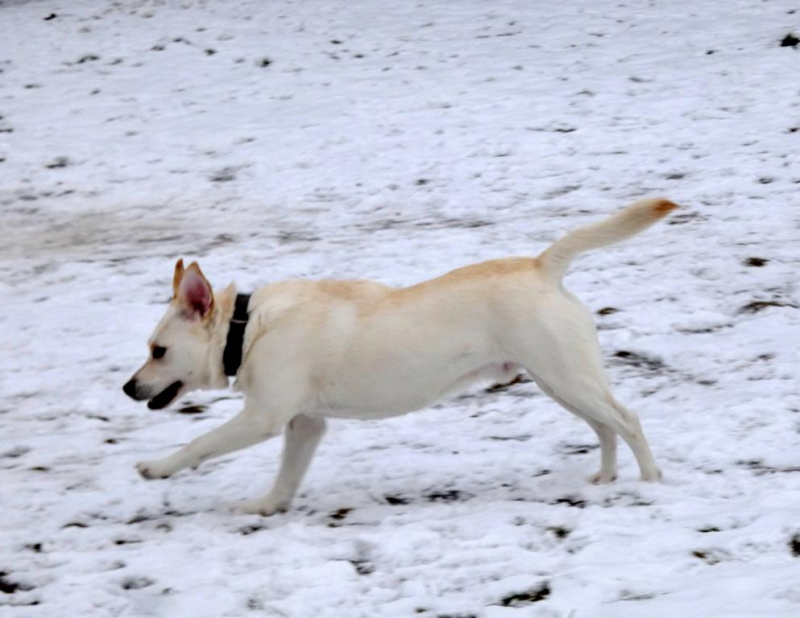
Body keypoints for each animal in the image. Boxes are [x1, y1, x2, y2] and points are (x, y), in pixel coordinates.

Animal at [123, 198, 677, 515]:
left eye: (158, 351)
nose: (128, 387)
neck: (248, 330)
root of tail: (543, 266)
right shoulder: (305, 424)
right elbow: (286, 477)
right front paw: (266, 508)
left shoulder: (264, 417)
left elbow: (199, 443)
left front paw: (156, 468)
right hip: (560, 382)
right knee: (605, 428)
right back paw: (605, 478)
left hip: (567, 378)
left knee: (628, 420)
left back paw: (650, 481)